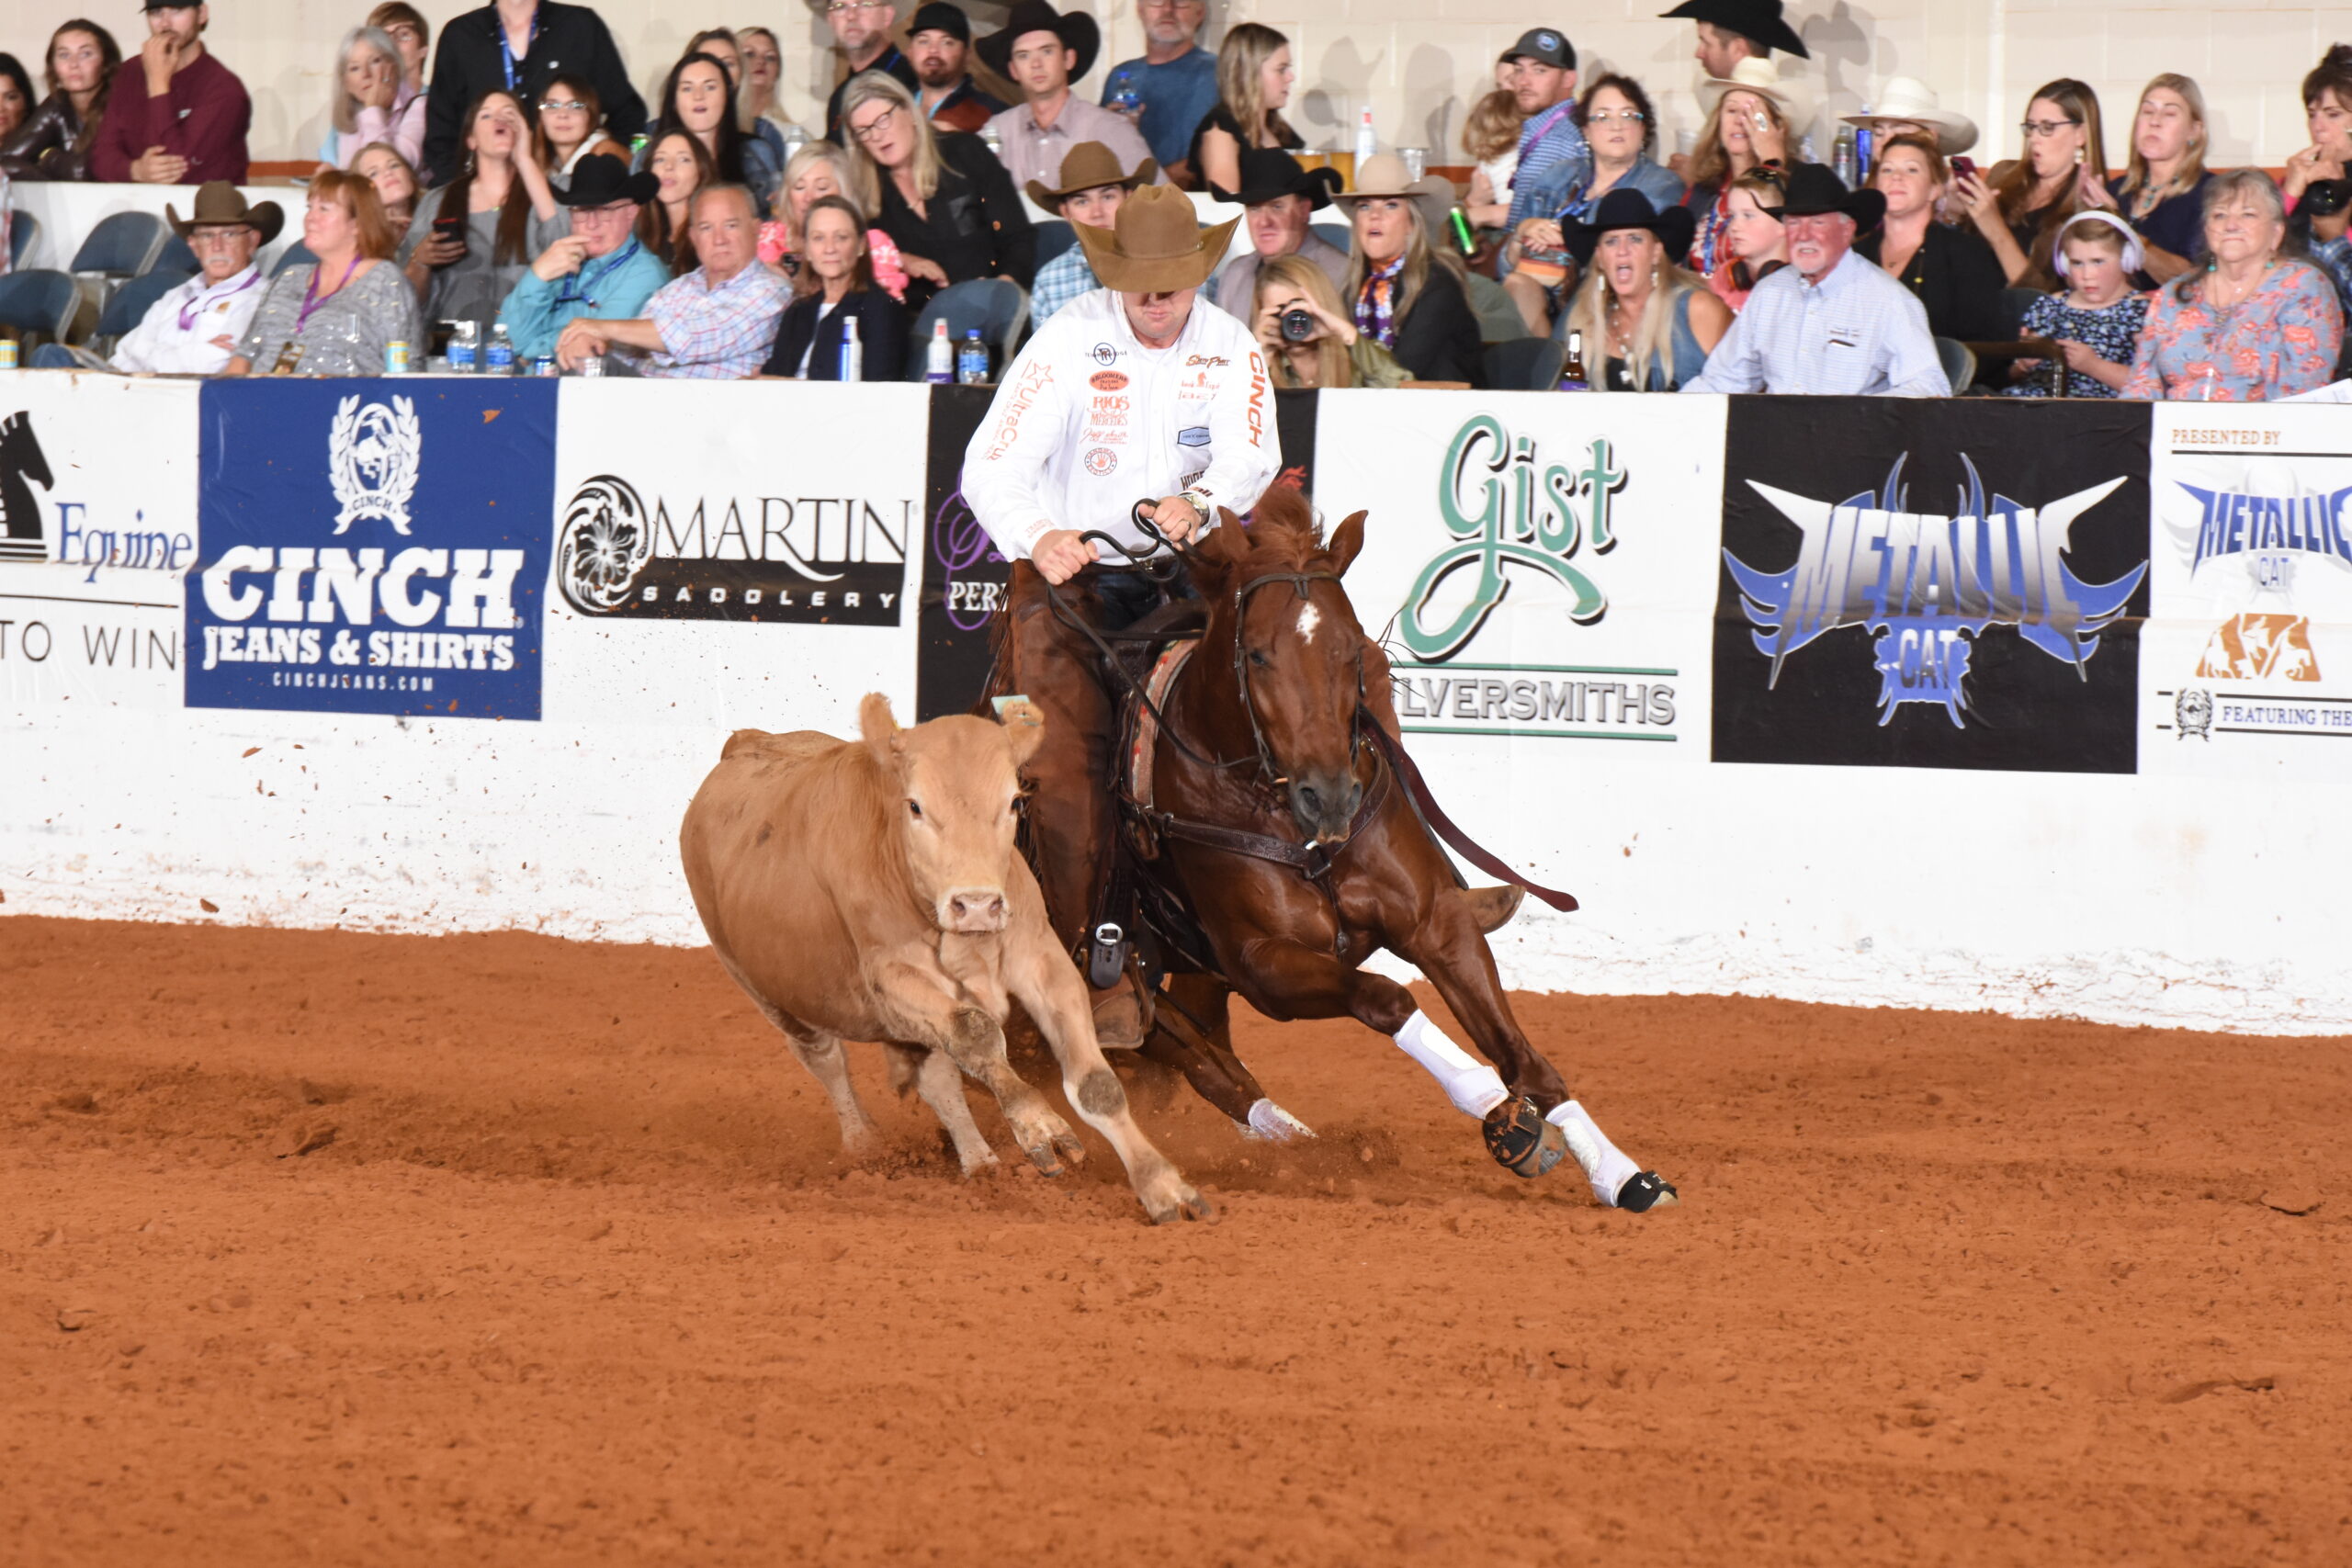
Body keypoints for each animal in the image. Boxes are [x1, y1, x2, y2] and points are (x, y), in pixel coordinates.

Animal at [673, 700, 1204, 1222]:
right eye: (915, 806)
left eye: (1015, 802)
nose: (977, 904)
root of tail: (748, 742)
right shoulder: (891, 980)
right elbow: (977, 1033)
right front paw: (1039, 1124)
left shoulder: (1042, 959)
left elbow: (1095, 1085)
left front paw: (1163, 1186)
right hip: (771, 996)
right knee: (827, 1061)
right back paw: (865, 1144)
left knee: (938, 1080)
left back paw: (980, 1163)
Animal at [983, 491, 1683, 1213]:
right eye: (1258, 655)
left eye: (1351, 651)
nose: (1331, 795)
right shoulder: (1264, 965)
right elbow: (1386, 999)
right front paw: (1504, 1119)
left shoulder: (1437, 924)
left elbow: (1521, 1053)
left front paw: (1621, 1174)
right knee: (1178, 1050)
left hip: (1199, 972)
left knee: (1210, 1058)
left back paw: (1294, 1142)